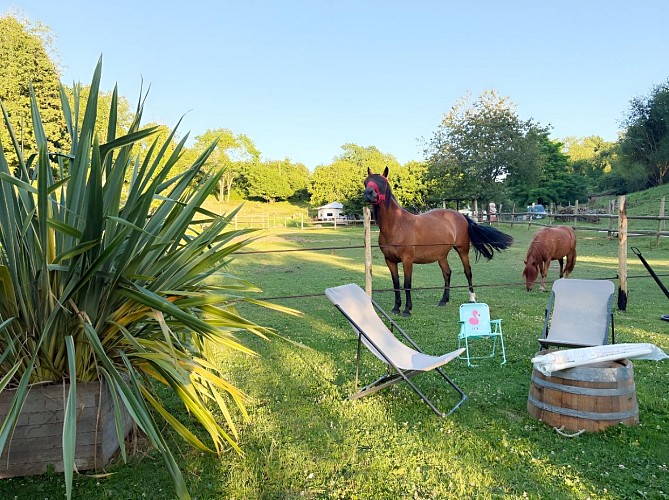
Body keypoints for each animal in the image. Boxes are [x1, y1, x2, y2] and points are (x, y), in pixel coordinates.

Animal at [363, 167, 514, 316]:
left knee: (467, 272)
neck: (397, 225)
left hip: (462, 250)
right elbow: (396, 284)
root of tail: (461, 216)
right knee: (447, 273)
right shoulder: (390, 260)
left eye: (382, 182)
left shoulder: (407, 260)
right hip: (442, 255)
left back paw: (471, 298)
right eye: (366, 182)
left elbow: (407, 284)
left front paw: (407, 309)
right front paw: (396, 308)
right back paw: (443, 300)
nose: (368, 194)